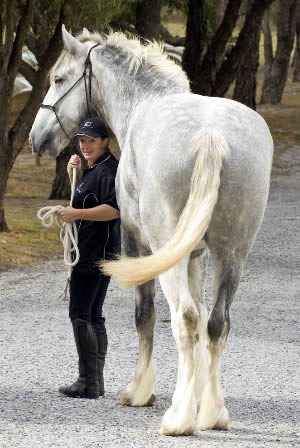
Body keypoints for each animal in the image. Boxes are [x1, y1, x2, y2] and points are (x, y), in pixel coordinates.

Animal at [29, 26, 274, 436]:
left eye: (58, 78)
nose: (37, 138)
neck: (142, 103)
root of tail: (211, 135)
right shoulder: (196, 254)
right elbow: (203, 317)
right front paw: (197, 400)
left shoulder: (135, 242)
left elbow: (144, 314)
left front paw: (140, 392)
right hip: (232, 254)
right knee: (215, 322)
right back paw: (213, 414)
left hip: (166, 248)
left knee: (184, 317)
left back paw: (178, 419)